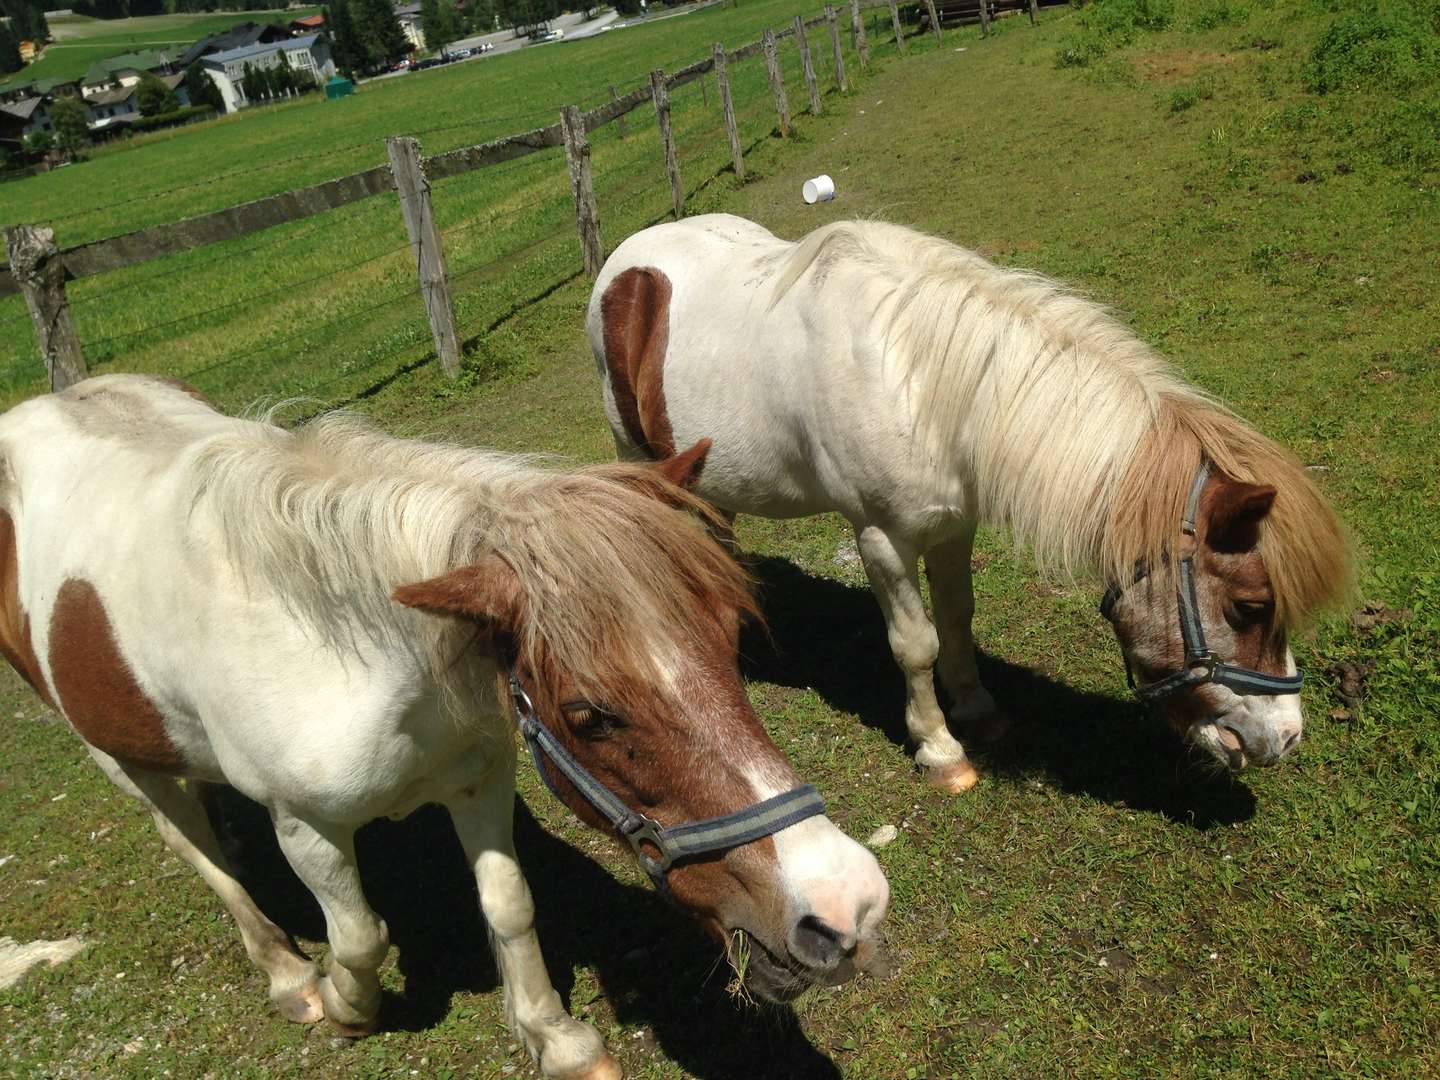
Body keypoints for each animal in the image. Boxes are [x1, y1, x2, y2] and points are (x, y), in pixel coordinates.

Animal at [0, 377, 887, 1077]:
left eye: (731, 644)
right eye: (587, 715)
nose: (847, 908)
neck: (347, 651)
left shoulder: (477, 777)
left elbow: (509, 905)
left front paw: (556, 1039)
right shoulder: (303, 826)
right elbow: (360, 935)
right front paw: (347, 1006)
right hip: (115, 754)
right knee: (193, 847)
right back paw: (287, 976)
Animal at [584, 217, 1347, 794]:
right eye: (1250, 607)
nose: (1285, 739)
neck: (918, 380)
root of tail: (624, 261)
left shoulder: (953, 526)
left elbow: (957, 616)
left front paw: (977, 710)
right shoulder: (880, 537)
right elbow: (915, 642)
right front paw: (941, 750)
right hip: (639, 457)